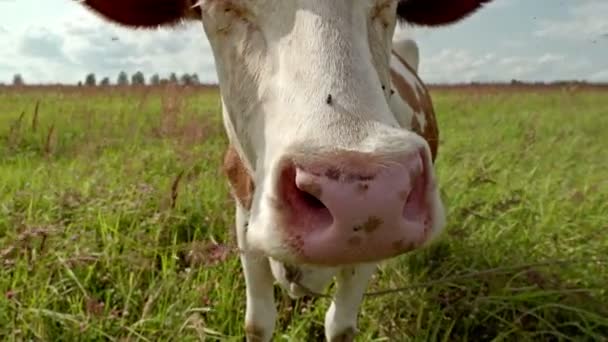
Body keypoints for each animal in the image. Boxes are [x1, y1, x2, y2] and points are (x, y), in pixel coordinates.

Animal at [78, 1, 494, 340]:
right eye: (220, 7)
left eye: (389, 4)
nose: (360, 197)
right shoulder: (245, 216)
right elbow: (258, 322)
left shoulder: (375, 239)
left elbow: (340, 325)